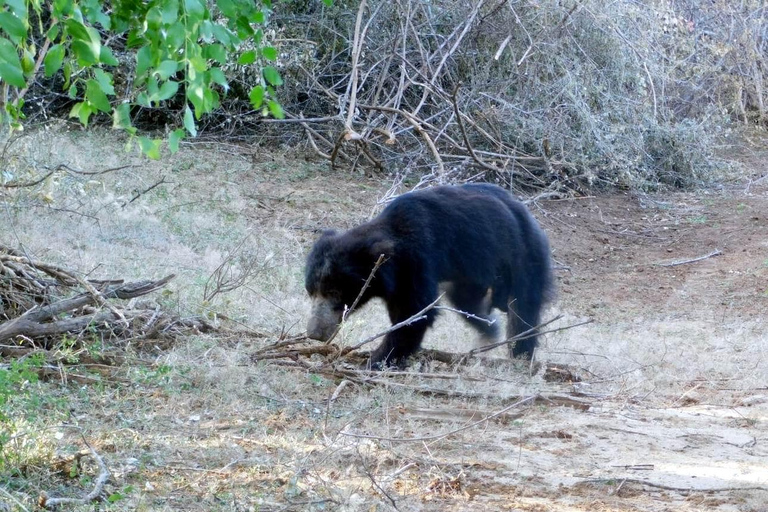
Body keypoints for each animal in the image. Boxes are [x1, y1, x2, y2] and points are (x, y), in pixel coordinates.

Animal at [304, 184, 552, 368]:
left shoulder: (418, 260)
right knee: (468, 301)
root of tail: (527, 214)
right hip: (470, 272)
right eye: (311, 292)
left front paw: (378, 360)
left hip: (524, 255)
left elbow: (415, 311)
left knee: (523, 307)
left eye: (334, 292)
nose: (314, 333)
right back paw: (489, 327)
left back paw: (521, 354)